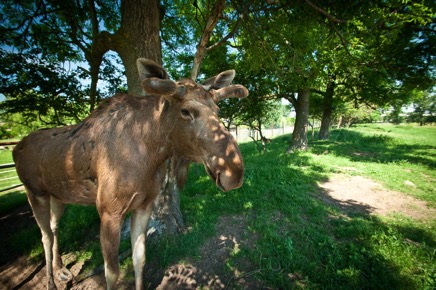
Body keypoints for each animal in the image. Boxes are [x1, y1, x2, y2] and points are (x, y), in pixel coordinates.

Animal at [13, 57, 249, 288]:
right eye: (185, 111)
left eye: (217, 111)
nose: (233, 173)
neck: (151, 155)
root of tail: (16, 147)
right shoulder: (109, 211)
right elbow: (112, 273)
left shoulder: (144, 205)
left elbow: (139, 259)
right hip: (34, 193)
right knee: (44, 235)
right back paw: (51, 282)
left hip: (58, 195)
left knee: (54, 227)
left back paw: (61, 269)